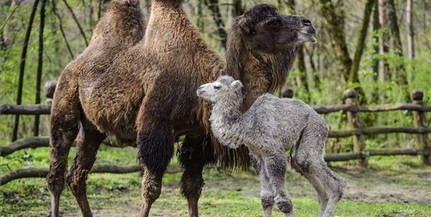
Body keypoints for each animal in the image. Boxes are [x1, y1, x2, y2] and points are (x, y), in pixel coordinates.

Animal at [47, 0, 318, 217]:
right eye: (273, 22)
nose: (309, 24)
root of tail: (76, 62)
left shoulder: (198, 137)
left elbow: (192, 188)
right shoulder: (155, 128)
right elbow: (151, 190)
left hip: (93, 128)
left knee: (77, 175)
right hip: (64, 101)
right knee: (57, 168)